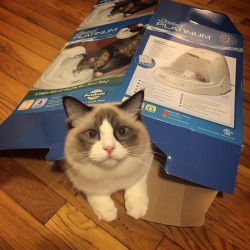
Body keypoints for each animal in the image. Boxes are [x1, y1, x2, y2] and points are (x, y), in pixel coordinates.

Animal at [62, 91, 152, 222]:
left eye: (122, 131)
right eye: (92, 134)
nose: (109, 148)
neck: (111, 173)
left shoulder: (145, 159)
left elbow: (135, 182)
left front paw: (137, 209)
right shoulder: (77, 174)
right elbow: (94, 191)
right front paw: (108, 213)